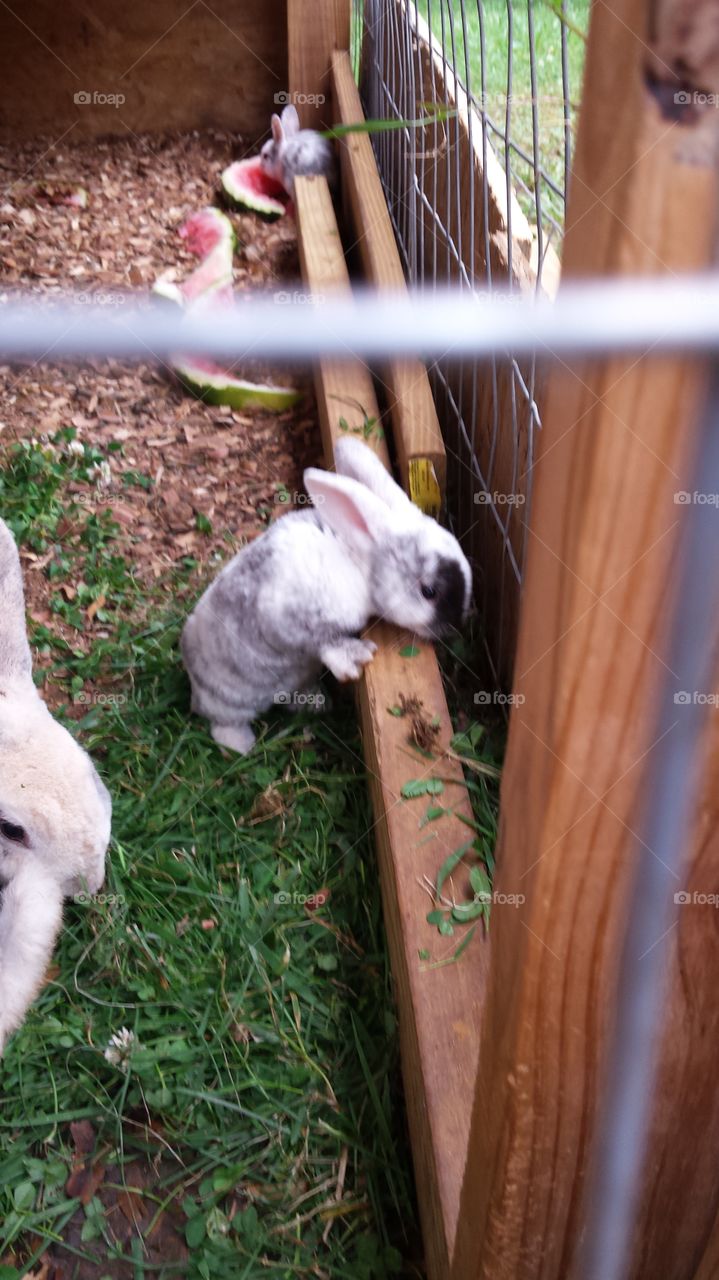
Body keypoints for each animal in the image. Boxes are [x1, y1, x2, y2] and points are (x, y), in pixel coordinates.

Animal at [181, 437, 472, 755]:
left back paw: (316, 703)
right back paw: (241, 746)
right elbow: (320, 639)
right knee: (222, 722)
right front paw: (356, 657)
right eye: (429, 591)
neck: (359, 565)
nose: (455, 628)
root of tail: (192, 680)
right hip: (227, 701)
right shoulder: (287, 615)